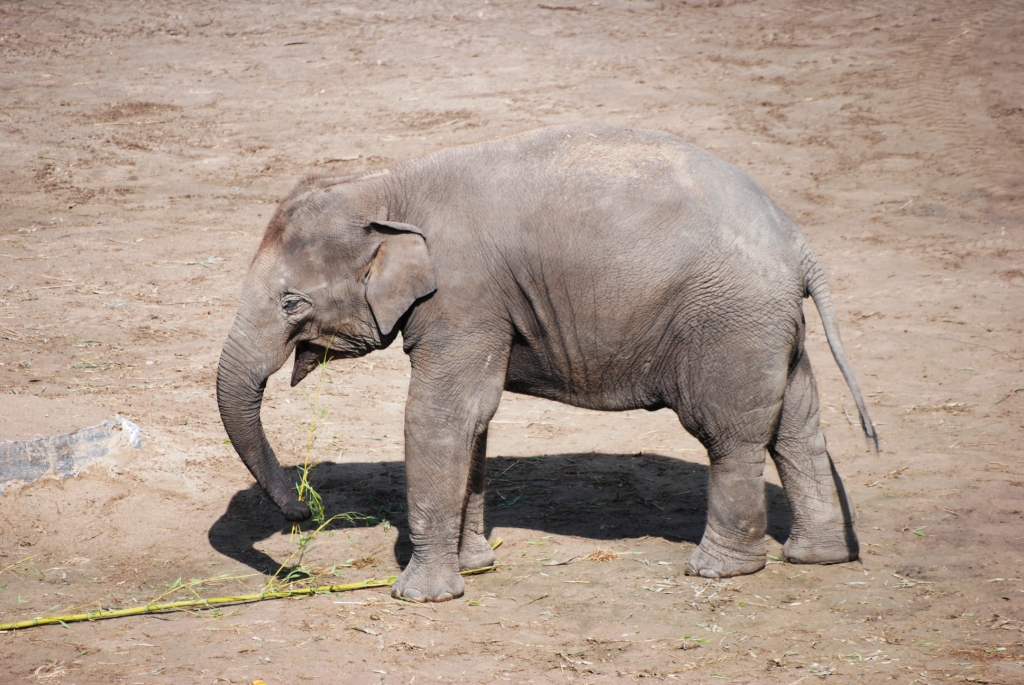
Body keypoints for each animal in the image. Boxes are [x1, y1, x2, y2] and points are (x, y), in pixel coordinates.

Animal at [216, 125, 877, 602]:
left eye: (291, 302)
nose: (304, 512)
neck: (385, 184)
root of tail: (797, 241)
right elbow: (475, 417)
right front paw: (475, 567)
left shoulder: (466, 295)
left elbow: (441, 415)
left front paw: (420, 597)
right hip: (770, 326)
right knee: (797, 425)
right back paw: (816, 557)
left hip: (731, 323)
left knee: (731, 434)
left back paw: (719, 570)